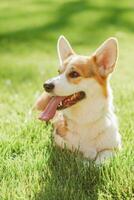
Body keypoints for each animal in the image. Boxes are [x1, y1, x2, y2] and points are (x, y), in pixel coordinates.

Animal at [34, 36, 121, 164]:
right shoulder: (60, 142)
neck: (85, 120)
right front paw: (86, 161)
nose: (46, 85)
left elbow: (102, 159)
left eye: (74, 74)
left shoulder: (114, 146)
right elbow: (77, 155)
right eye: (59, 72)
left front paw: (94, 162)